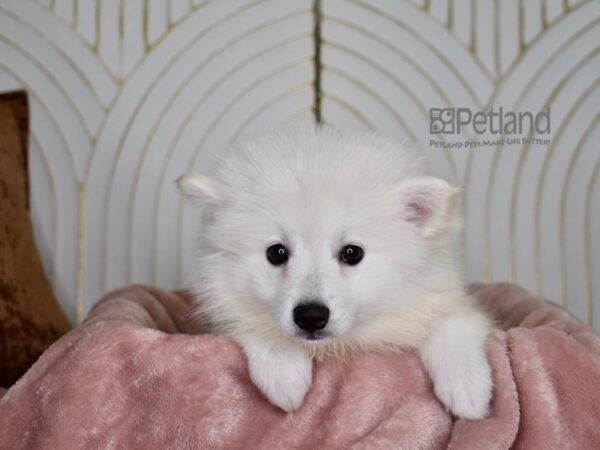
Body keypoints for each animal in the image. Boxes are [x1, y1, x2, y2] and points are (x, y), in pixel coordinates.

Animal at [177, 125, 492, 418]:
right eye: (276, 253)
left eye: (352, 253)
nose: (310, 316)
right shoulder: (224, 313)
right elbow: (254, 327)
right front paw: (283, 372)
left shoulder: (446, 300)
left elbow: (450, 324)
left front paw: (467, 388)